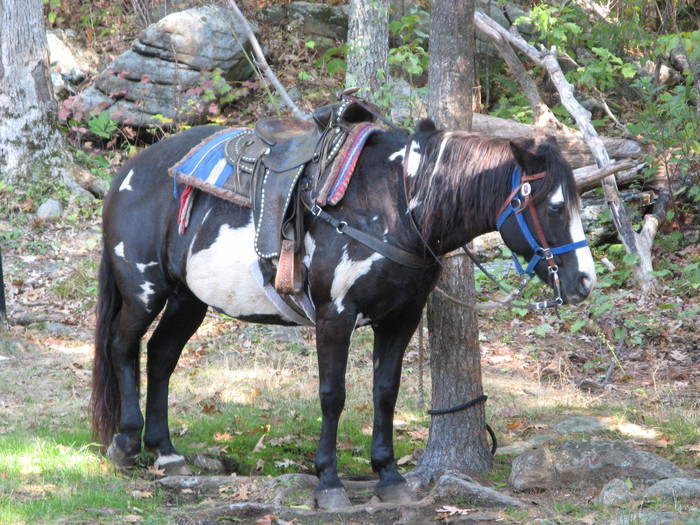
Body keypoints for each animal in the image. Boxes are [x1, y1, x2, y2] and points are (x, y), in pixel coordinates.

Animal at [91, 118, 596, 508]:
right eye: (554, 206)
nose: (585, 282)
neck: (396, 202)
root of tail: (130, 170)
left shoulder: (401, 318)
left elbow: (385, 393)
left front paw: (389, 477)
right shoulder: (335, 316)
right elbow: (333, 395)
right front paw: (329, 482)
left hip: (187, 298)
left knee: (160, 356)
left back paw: (165, 451)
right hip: (144, 289)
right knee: (122, 346)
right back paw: (126, 442)